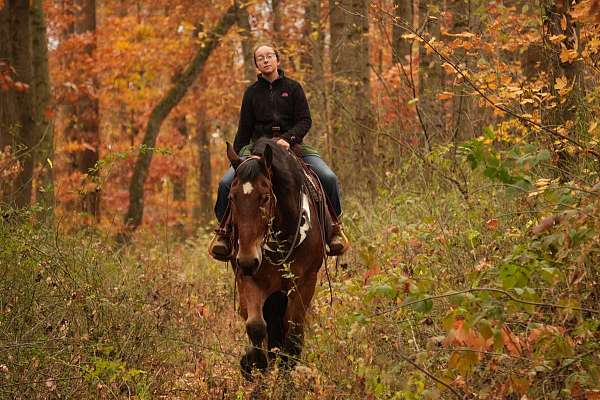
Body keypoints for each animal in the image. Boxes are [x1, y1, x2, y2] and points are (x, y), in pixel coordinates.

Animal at [225, 138, 328, 378]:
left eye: (264, 198)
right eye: (231, 198)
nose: (247, 260)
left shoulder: (304, 283)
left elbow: (293, 334)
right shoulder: (250, 278)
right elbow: (255, 326)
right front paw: (253, 363)